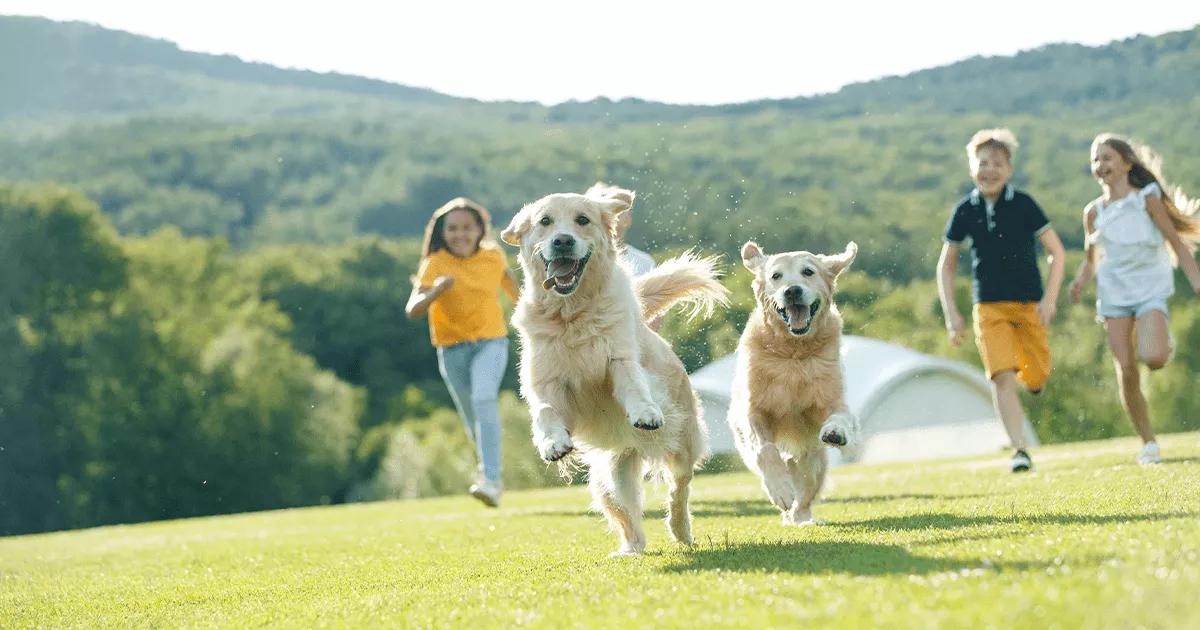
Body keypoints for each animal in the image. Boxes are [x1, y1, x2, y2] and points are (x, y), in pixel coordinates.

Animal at [501, 187, 724, 554]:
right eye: (544, 221)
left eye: (582, 220)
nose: (562, 241)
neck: (571, 313)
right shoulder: (544, 381)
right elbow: (545, 410)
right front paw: (552, 444)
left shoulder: (619, 359)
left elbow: (633, 384)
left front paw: (645, 412)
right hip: (610, 477)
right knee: (627, 514)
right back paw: (630, 550)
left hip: (682, 442)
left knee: (679, 488)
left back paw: (681, 531)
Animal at [724, 241, 859, 525]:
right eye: (776, 276)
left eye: (808, 271)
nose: (792, 291)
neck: (793, 353)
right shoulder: (753, 411)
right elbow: (765, 450)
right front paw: (780, 488)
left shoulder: (832, 399)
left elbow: (840, 416)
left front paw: (835, 431)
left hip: (814, 461)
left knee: (804, 498)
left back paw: (804, 520)